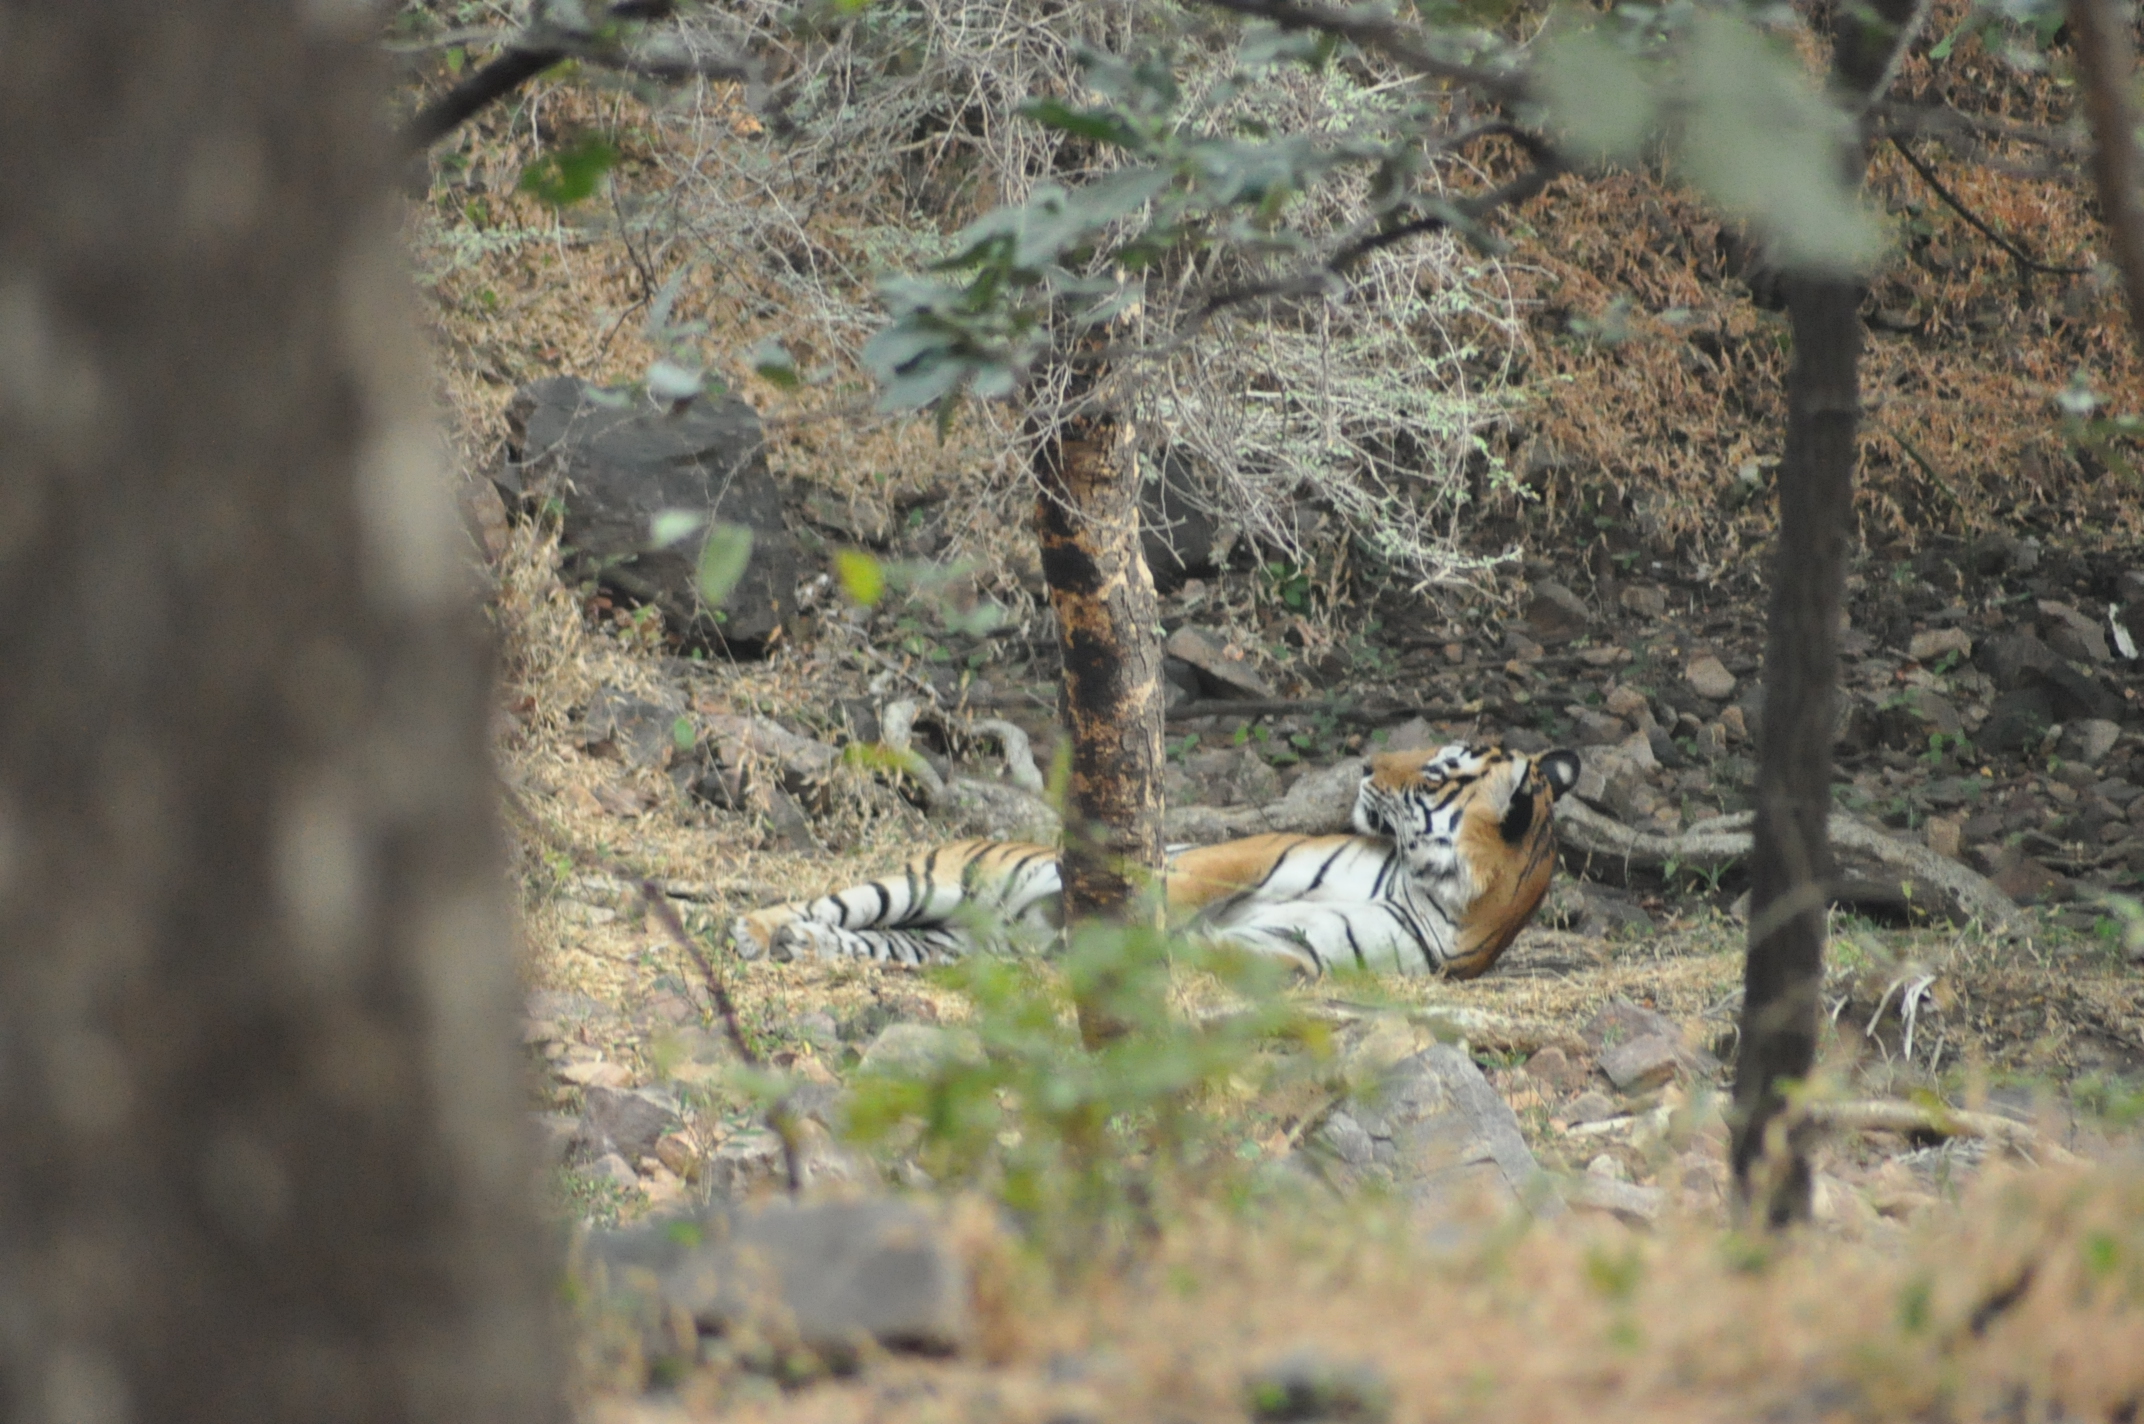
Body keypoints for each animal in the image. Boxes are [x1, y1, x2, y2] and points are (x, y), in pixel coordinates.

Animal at [729, 742, 1583, 979]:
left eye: (1435, 773)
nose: (1367, 765)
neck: (1441, 893)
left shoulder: (1298, 949)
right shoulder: (1252, 852)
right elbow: (1182, 884)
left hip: (937, 945)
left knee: (859, 939)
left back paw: (800, 946)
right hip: (930, 878)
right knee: (825, 901)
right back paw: (757, 929)